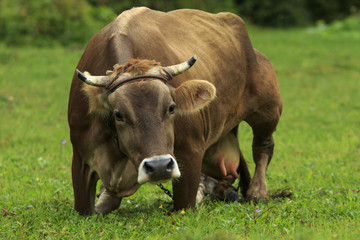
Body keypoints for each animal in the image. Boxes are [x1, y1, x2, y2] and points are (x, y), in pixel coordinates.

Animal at [67, 7, 282, 216]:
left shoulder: (190, 151)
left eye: (171, 108)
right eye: (118, 115)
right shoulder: (80, 158)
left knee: (263, 147)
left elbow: (183, 205)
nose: (159, 166)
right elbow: (85, 209)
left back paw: (257, 192)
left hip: (268, 110)